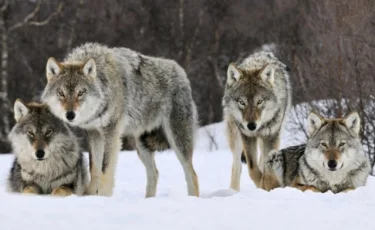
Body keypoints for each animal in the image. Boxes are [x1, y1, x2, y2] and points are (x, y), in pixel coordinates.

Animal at [41, 42, 201, 197]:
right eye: (61, 93)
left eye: (80, 93)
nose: (70, 115)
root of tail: (181, 72)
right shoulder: (94, 133)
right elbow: (94, 168)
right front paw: (90, 195)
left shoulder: (111, 132)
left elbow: (105, 168)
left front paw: (103, 196)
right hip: (142, 146)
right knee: (154, 173)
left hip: (177, 141)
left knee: (192, 174)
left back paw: (192, 198)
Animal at [223, 50, 294, 190]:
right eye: (242, 102)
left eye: (259, 101)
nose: (251, 126)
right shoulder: (247, 136)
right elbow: (252, 169)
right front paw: (262, 184)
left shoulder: (272, 136)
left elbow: (266, 169)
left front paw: (266, 185)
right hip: (236, 136)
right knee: (237, 166)